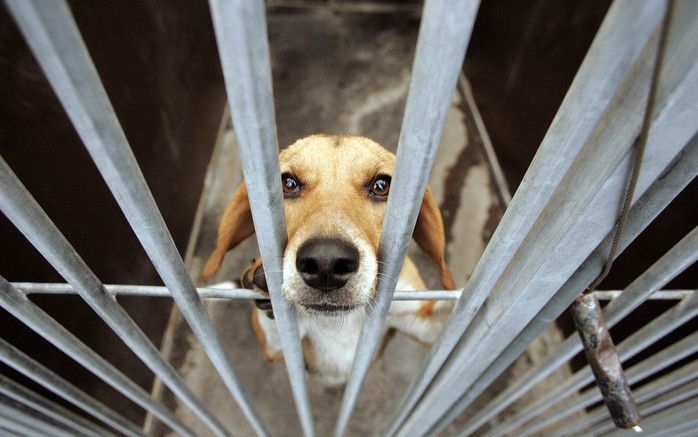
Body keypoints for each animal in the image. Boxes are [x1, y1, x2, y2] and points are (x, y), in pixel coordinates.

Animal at [200, 134, 456, 384]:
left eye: (381, 186)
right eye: (288, 184)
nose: (326, 263)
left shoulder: (422, 322)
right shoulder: (273, 352)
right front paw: (266, 287)